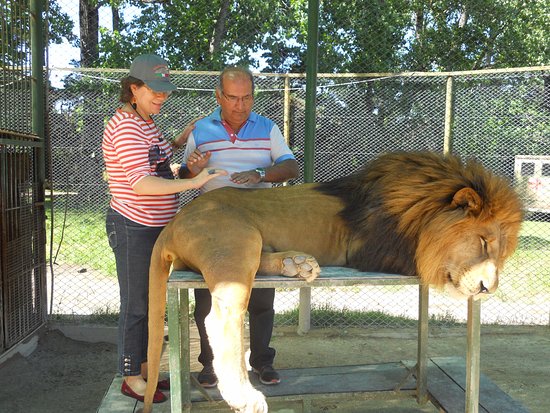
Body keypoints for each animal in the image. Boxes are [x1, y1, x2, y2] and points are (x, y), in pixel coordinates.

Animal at [141, 151, 520, 412]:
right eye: (484, 242)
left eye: (501, 254)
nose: (488, 289)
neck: (421, 206)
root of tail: (175, 222)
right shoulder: (377, 250)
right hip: (235, 237)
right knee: (219, 317)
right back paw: (243, 395)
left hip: (246, 243)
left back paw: (296, 264)